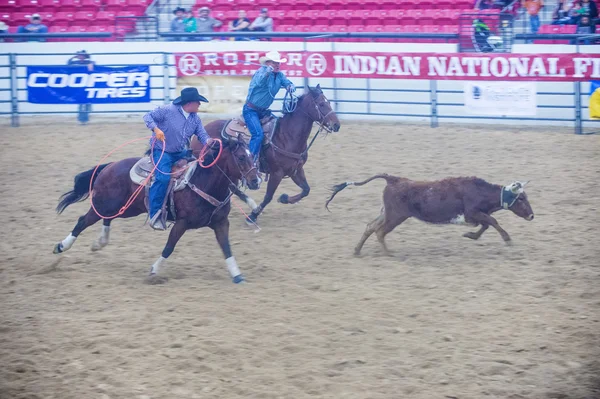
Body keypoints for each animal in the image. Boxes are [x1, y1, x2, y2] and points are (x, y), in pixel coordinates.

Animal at [51, 134, 258, 284]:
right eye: (241, 157)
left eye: (252, 156)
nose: (255, 181)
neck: (204, 182)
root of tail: (110, 166)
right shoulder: (181, 223)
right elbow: (169, 247)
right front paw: (153, 272)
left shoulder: (221, 223)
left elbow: (226, 248)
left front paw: (237, 275)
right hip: (105, 204)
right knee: (83, 221)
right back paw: (62, 246)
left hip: (126, 208)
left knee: (107, 218)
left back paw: (99, 242)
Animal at [195, 85, 340, 227]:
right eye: (321, 104)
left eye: (329, 102)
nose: (337, 125)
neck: (287, 136)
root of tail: (204, 130)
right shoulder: (277, 173)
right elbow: (268, 196)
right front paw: (253, 216)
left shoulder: (295, 170)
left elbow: (306, 190)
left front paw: (284, 198)